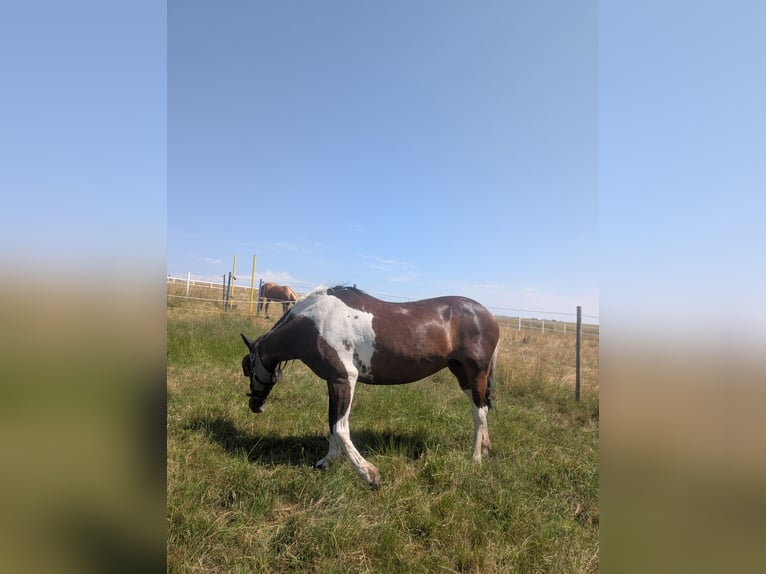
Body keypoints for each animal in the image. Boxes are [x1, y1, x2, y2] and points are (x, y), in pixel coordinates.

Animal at [240, 285, 500, 489]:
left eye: (247, 367)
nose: (254, 405)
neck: (314, 322)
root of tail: (489, 316)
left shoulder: (345, 379)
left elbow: (340, 428)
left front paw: (370, 475)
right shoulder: (333, 381)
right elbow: (332, 423)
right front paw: (327, 461)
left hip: (476, 372)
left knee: (478, 412)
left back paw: (475, 458)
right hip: (461, 373)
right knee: (482, 409)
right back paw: (486, 449)